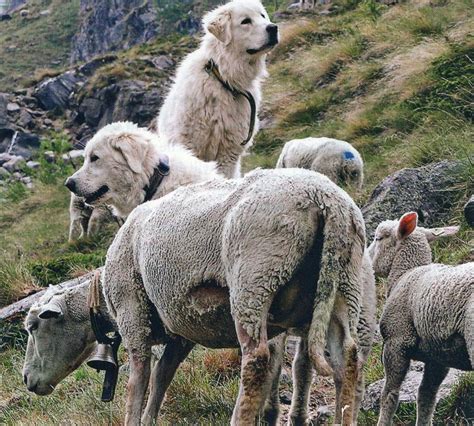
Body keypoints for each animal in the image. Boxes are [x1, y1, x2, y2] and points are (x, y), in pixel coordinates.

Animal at [102, 168, 364, 424]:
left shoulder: (132, 311)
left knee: (256, 359)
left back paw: (240, 417)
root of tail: (324, 199)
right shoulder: (181, 330)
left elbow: (139, 379)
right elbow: (161, 375)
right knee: (347, 355)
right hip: (344, 281)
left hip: (255, 278)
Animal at [157, 0, 280, 177]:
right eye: (245, 21)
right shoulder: (191, 145)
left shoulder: (228, 152)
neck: (223, 79)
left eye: (262, 16)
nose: (273, 28)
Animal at [368, 213, 472, 426]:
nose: (365, 258)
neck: (405, 273)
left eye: (378, 238)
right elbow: (426, 397)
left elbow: (389, 395)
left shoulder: (396, 341)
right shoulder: (439, 356)